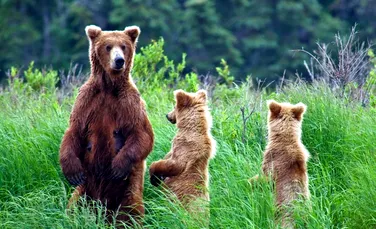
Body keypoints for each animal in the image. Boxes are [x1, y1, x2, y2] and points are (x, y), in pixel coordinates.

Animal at [58, 24, 153, 225]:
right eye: (108, 46)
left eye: (123, 46)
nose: (119, 61)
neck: (109, 87)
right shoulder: (87, 100)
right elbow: (74, 131)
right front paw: (72, 171)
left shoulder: (130, 103)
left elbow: (141, 134)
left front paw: (118, 166)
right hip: (85, 189)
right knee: (74, 205)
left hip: (128, 189)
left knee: (131, 209)